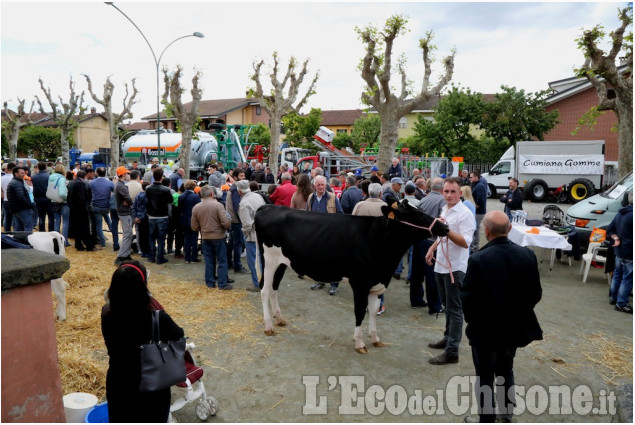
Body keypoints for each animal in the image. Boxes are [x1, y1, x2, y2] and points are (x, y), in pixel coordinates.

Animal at [256, 197, 450, 352]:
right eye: (416, 215)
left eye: (422, 210)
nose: (445, 226)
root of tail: (268, 206)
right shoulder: (360, 283)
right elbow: (360, 312)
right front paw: (359, 343)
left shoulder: (378, 283)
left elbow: (373, 311)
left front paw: (375, 338)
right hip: (269, 259)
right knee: (264, 290)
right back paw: (269, 326)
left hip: (281, 262)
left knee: (274, 288)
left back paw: (280, 319)